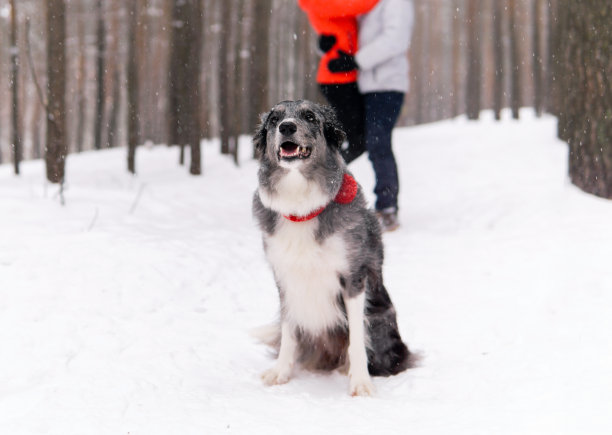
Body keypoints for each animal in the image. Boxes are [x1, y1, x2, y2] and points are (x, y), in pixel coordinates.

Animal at [251, 100, 414, 396]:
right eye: (274, 119)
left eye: (309, 116)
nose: (287, 127)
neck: (301, 207)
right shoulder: (285, 278)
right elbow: (289, 331)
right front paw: (281, 372)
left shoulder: (353, 277)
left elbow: (357, 339)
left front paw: (360, 382)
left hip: (381, 319)